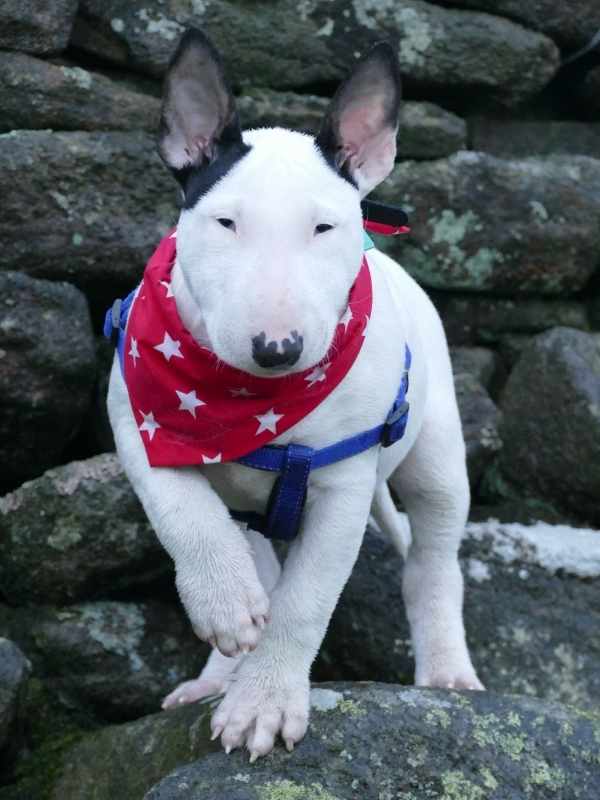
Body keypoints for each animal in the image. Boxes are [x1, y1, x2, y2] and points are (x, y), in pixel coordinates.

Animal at [106, 26, 482, 764]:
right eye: (225, 223)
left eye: (324, 228)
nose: (277, 348)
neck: (251, 401)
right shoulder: (141, 422)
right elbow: (182, 511)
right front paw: (223, 606)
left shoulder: (343, 485)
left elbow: (306, 601)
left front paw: (264, 705)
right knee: (256, 560)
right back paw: (218, 667)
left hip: (436, 456)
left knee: (432, 561)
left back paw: (448, 670)